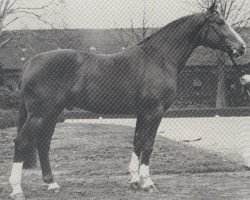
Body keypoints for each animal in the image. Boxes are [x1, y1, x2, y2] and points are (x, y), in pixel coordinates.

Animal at [8, 2, 246, 199]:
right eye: (219, 22)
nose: (241, 47)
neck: (159, 59)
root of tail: (30, 62)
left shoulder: (142, 113)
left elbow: (137, 142)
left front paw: (134, 179)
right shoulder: (154, 112)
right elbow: (148, 144)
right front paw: (147, 183)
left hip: (52, 113)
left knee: (43, 143)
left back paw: (52, 184)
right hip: (40, 113)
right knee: (22, 142)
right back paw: (17, 189)